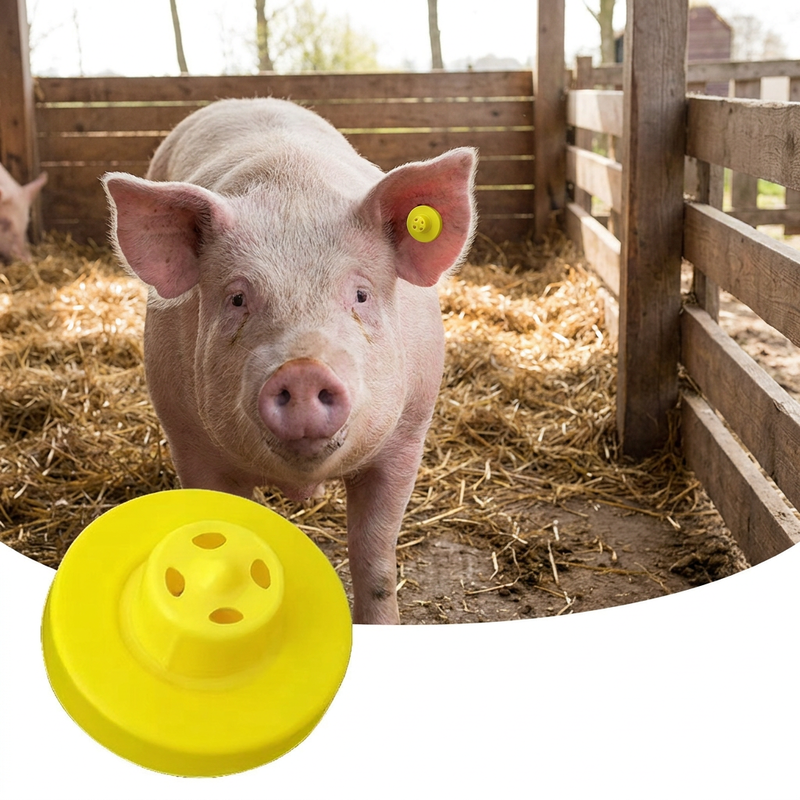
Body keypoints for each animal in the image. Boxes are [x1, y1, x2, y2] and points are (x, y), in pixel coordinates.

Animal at [102, 97, 477, 624]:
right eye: (237, 298)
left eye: (361, 294)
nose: (302, 370)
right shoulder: (188, 441)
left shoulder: (407, 437)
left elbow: (374, 554)